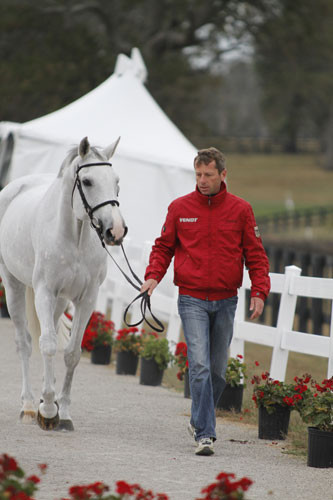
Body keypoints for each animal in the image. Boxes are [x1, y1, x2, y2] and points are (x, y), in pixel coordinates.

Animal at [0, 136, 126, 430]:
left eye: (116, 181)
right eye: (88, 181)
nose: (115, 231)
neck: (75, 237)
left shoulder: (86, 298)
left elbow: (71, 353)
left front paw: (64, 412)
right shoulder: (45, 292)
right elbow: (46, 345)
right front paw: (47, 410)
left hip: (60, 302)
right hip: (14, 286)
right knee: (24, 343)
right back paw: (28, 406)